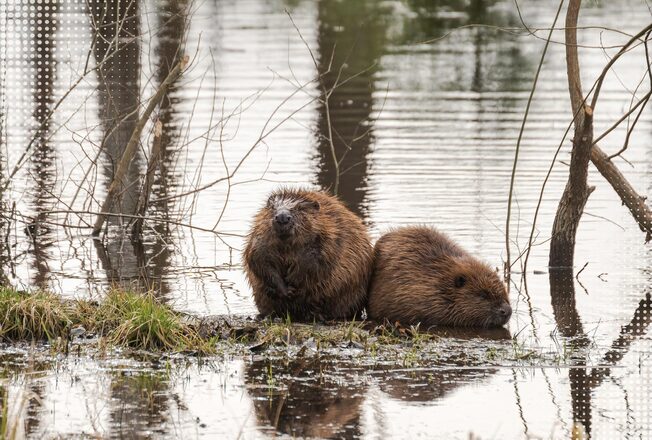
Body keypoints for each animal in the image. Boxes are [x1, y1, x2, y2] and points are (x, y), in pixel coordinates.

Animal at [242, 187, 372, 322]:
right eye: (273, 207)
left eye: (299, 208)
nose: (282, 217)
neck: (287, 245)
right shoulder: (260, 238)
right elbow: (259, 261)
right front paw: (285, 290)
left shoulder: (329, 238)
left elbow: (316, 263)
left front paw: (293, 283)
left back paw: (319, 316)